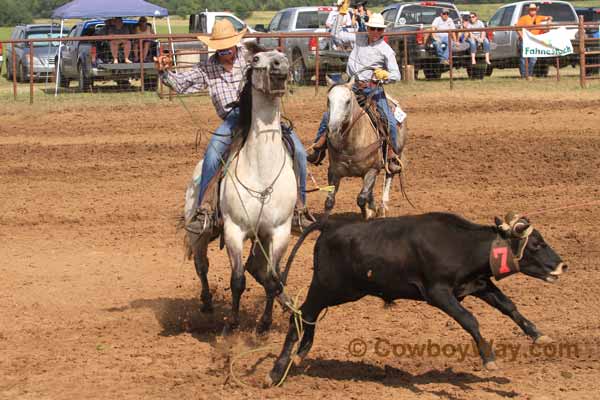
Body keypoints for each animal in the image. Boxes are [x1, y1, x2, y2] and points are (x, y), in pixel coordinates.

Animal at [183, 43, 296, 334]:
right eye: (256, 59)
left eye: (284, 55)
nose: (280, 65)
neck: (261, 171)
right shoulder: (235, 230)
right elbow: (237, 280)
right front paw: (233, 322)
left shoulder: (279, 232)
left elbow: (273, 279)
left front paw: (265, 323)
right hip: (198, 233)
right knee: (202, 265)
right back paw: (207, 303)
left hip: (261, 239)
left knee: (258, 270)